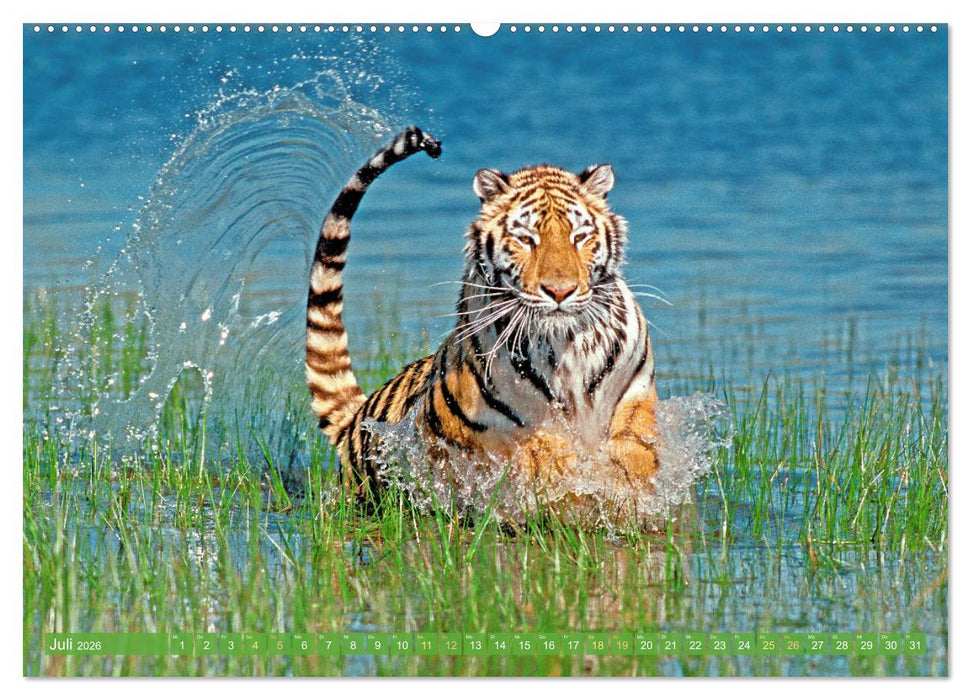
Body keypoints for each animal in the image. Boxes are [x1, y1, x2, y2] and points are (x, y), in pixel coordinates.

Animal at [306, 125, 660, 524]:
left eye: (579, 237)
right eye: (526, 239)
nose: (560, 291)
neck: (567, 344)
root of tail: (355, 418)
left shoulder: (635, 394)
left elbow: (637, 452)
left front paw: (629, 494)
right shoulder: (510, 432)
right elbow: (546, 458)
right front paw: (575, 488)